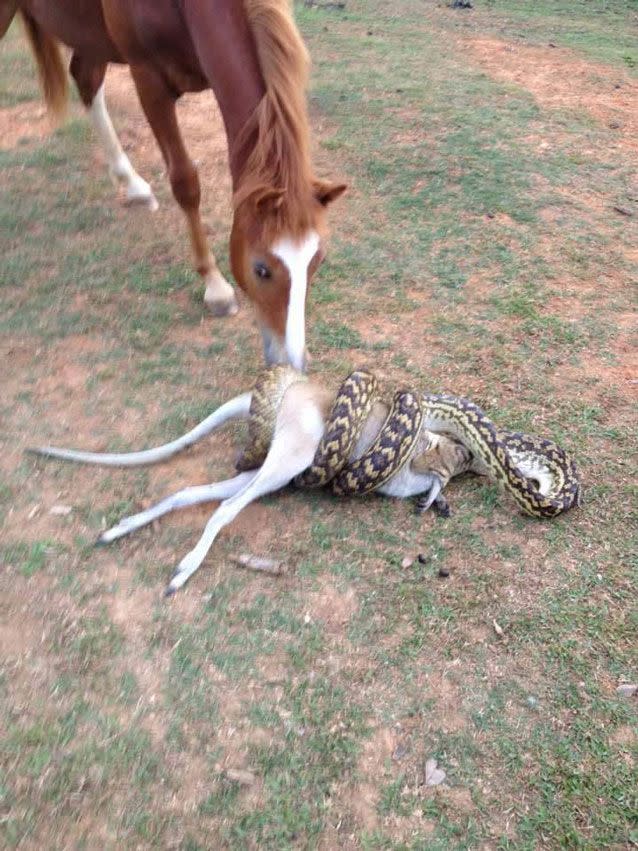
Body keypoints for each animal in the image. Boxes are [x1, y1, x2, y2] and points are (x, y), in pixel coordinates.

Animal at [0, 2, 344, 370]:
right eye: (261, 269)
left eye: (317, 259)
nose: (292, 361)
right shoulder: (148, 81)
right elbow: (185, 182)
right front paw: (216, 287)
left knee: (85, 79)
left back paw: (132, 183)